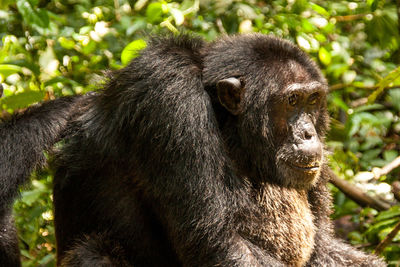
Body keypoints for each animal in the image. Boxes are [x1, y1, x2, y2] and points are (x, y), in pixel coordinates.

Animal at [0, 34, 388, 266]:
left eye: (313, 100)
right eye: (291, 101)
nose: (308, 133)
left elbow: (321, 242)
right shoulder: (170, 96)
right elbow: (218, 241)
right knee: (93, 253)